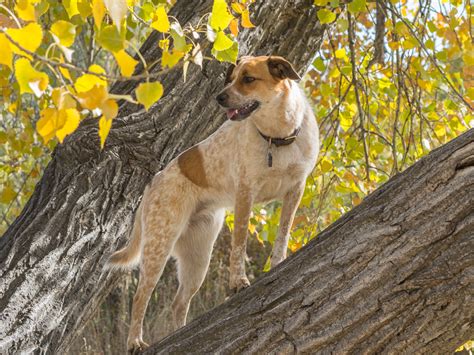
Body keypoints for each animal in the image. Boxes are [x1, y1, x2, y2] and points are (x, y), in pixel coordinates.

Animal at [109, 55, 320, 354]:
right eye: (231, 78)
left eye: (248, 79)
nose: (219, 98)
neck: (276, 137)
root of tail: (151, 185)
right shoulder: (245, 193)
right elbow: (239, 245)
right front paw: (238, 282)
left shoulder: (295, 189)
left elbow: (283, 234)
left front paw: (278, 263)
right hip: (159, 246)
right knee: (140, 297)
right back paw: (135, 342)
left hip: (198, 257)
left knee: (179, 303)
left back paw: (181, 333)